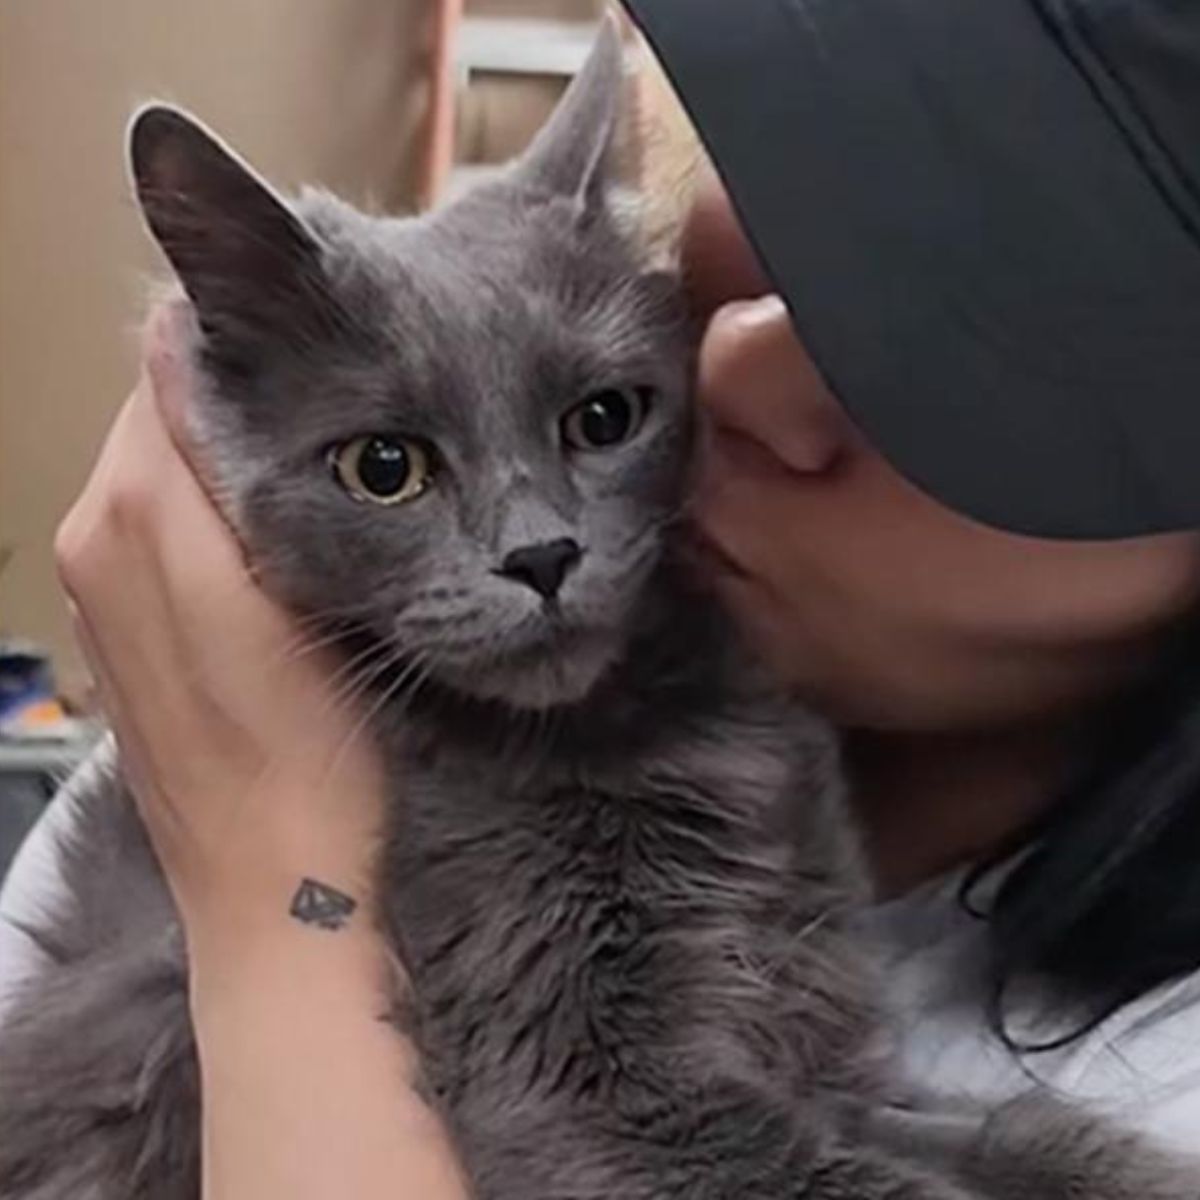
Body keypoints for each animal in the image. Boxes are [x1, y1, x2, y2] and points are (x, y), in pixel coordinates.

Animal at [0, 18, 1195, 1200]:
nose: (541, 556)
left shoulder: (820, 1031)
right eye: (384, 467)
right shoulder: (583, 1088)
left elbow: (1021, 1130)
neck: (659, 740)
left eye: (605, 418)